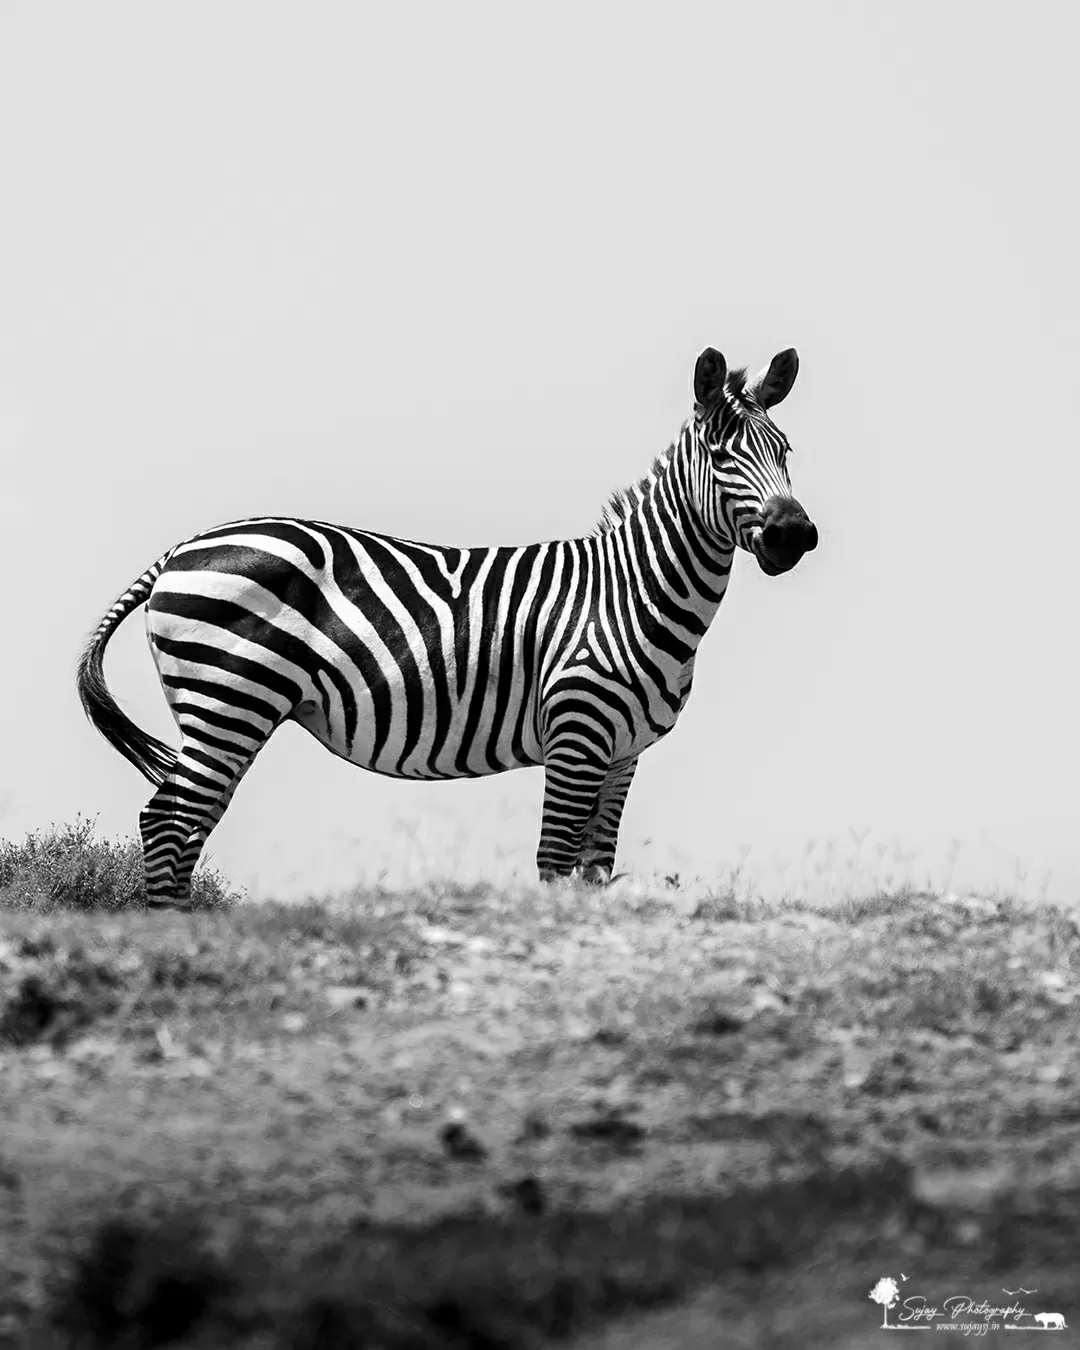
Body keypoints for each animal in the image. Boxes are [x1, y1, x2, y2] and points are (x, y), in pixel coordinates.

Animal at [77, 351, 820, 918]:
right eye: (721, 455)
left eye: (787, 453)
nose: (795, 535)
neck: (633, 593)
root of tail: (180, 549)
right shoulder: (576, 735)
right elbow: (554, 861)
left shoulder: (623, 753)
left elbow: (594, 869)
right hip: (230, 695)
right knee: (169, 819)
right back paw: (171, 930)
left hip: (224, 707)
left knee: (188, 819)